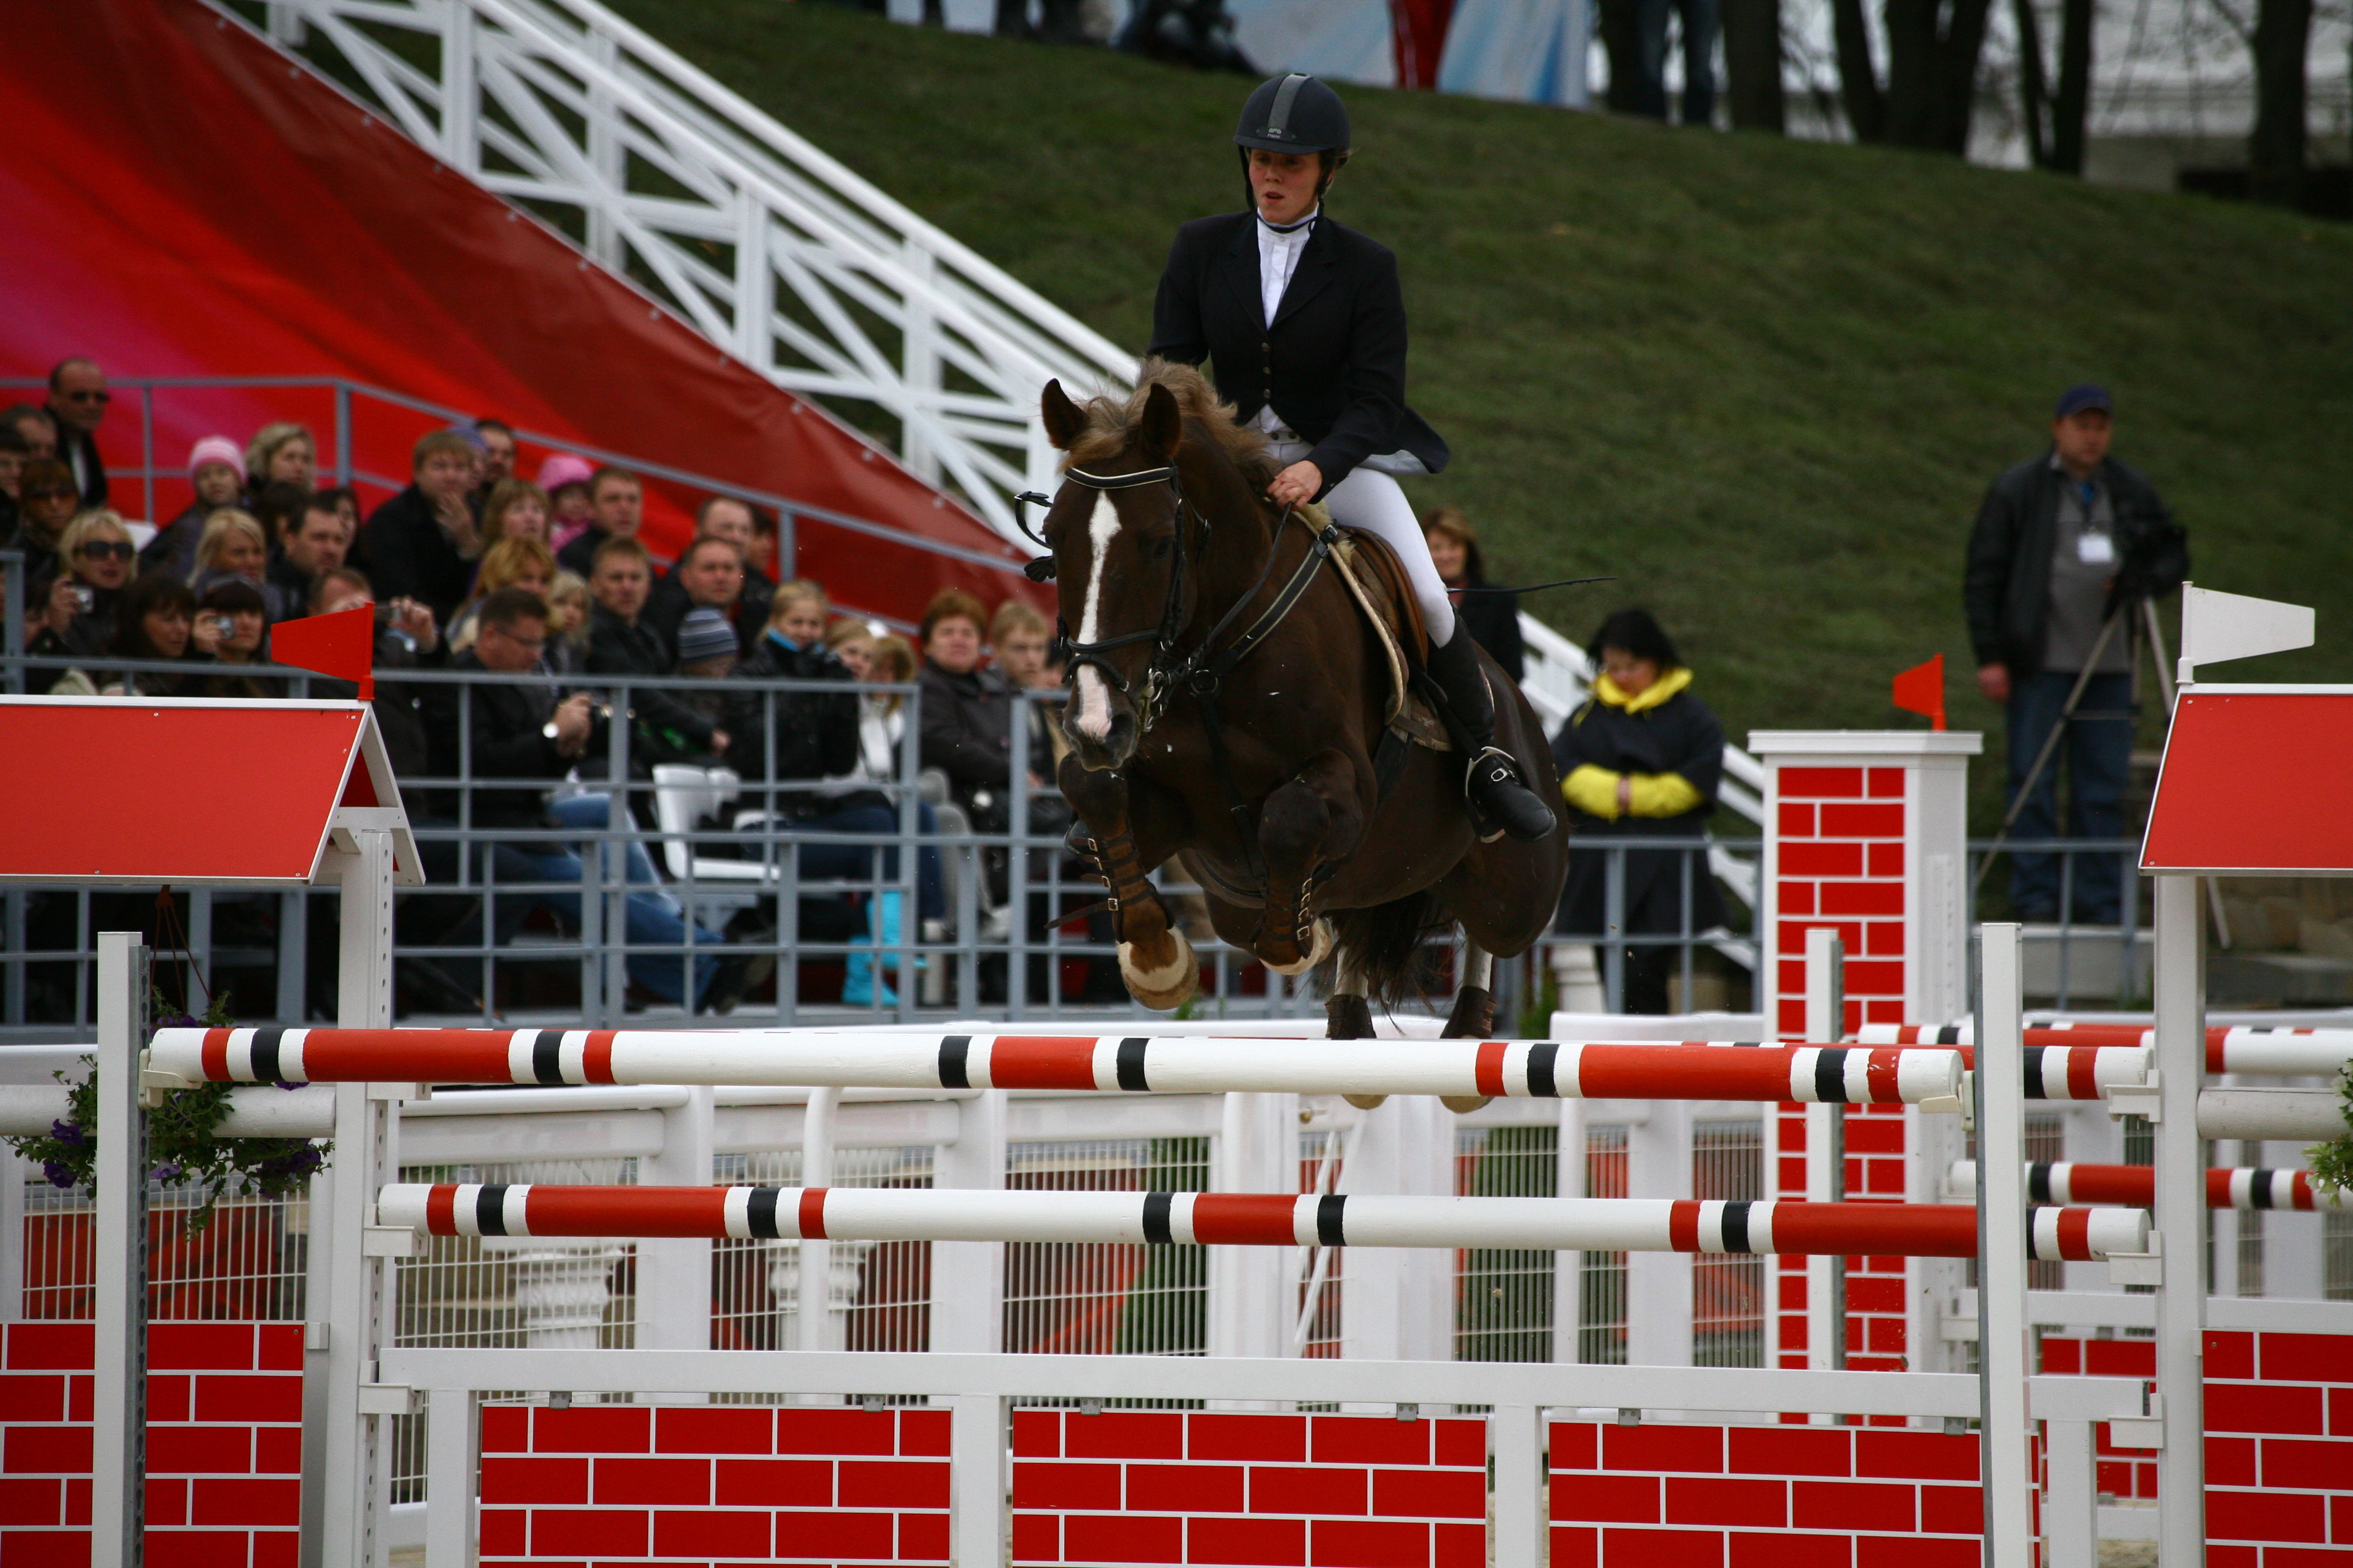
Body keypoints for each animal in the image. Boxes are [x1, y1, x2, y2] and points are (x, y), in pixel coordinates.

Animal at [1045, 358, 1562, 1031]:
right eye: (1053, 537)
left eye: (1159, 541)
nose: (1096, 725)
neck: (1215, 662)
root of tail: (1525, 712)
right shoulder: (1175, 813)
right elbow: (1093, 792)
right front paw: (1157, 958)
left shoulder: (1351, 790)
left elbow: (1291, 819)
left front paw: (1293, 941)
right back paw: (1349, 1011)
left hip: (1519, 888)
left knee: (1493, 933)